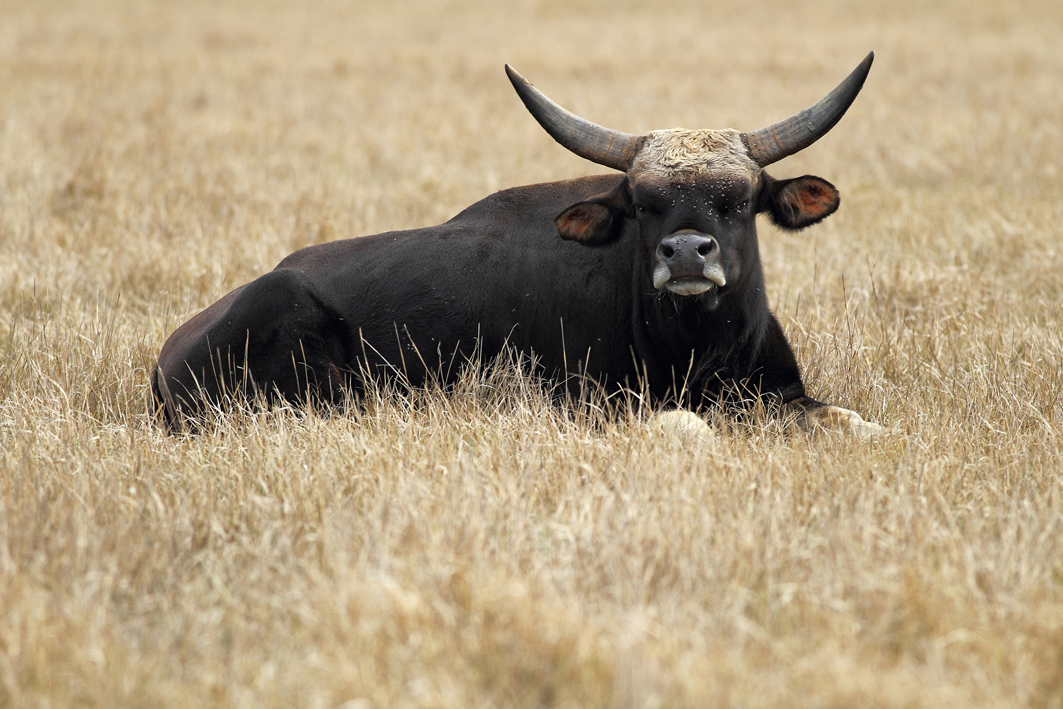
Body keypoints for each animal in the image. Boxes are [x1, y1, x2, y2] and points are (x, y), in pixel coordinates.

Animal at [149, 52, 880, 435]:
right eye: (643, 204)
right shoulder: (600, 407)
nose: (685, 254)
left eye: (739, 200)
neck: (702, 349)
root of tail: (167, 358)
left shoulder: (788, 394)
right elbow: (688, 424)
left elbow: (858, 421)